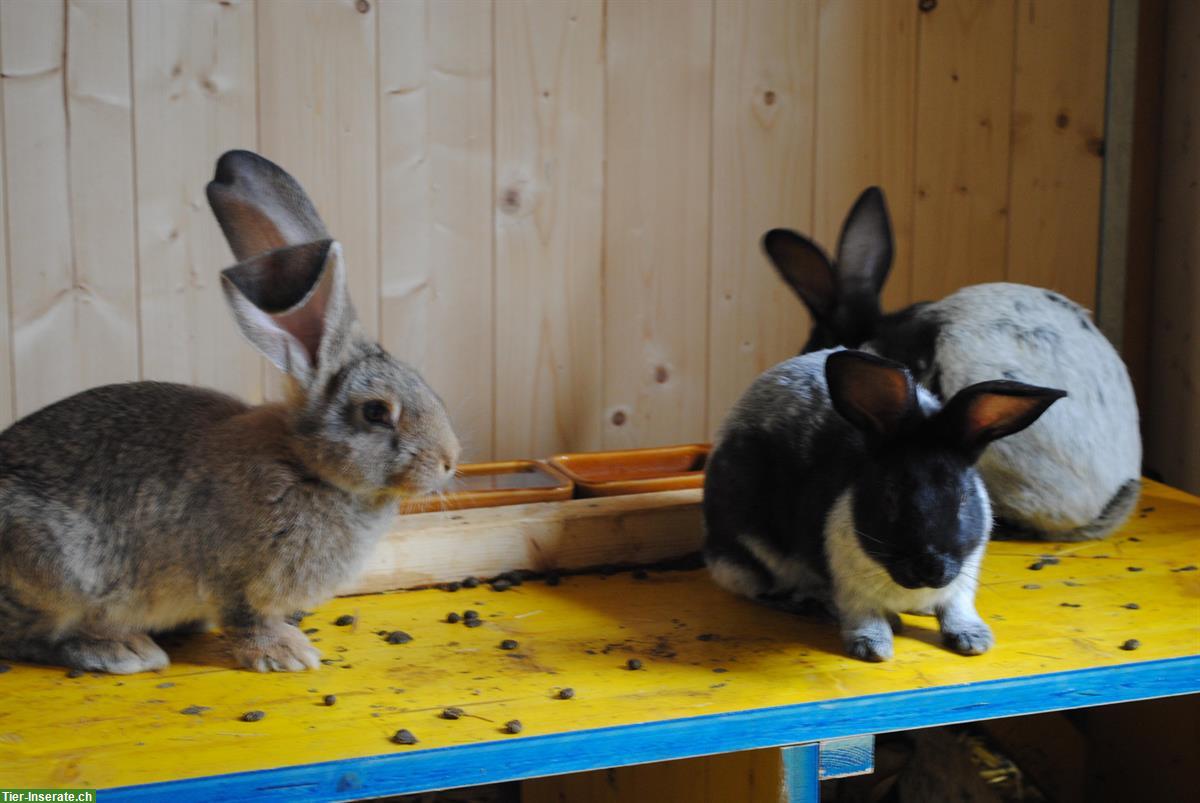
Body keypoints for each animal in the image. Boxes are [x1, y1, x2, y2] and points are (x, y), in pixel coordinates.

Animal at [0, 150, 460, 674]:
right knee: (25, 637)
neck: (305, 465)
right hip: (54, 572)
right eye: (377, 412)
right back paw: (122, 651)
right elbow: (247, 619)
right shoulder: (238, 579)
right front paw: (286, 654)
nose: (449, 460)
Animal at [703, 348, 1064, 661]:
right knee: (762, 589)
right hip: (753, 551)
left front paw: (974, 639)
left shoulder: (962, 581)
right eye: (890, 495)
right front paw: (872, 647)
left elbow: (956, 608)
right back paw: (816, 605)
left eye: (963, 498)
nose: (930, 566)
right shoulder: (851, 589)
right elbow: (863, 615)